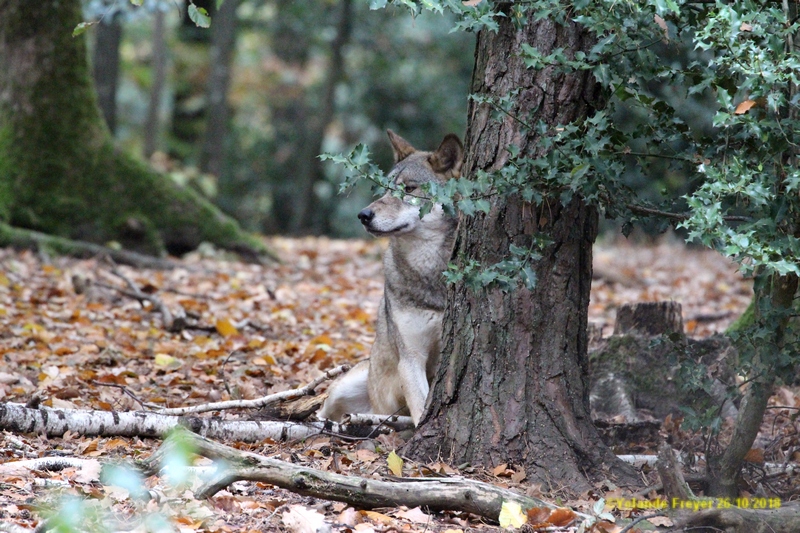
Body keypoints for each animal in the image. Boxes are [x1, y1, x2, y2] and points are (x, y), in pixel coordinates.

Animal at [318, 129, 462, 424]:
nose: (363, 215)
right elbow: (420, 413)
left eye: (409, 189)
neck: (428, 269)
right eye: (384, 188)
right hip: (345, 389)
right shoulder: (411, 358)